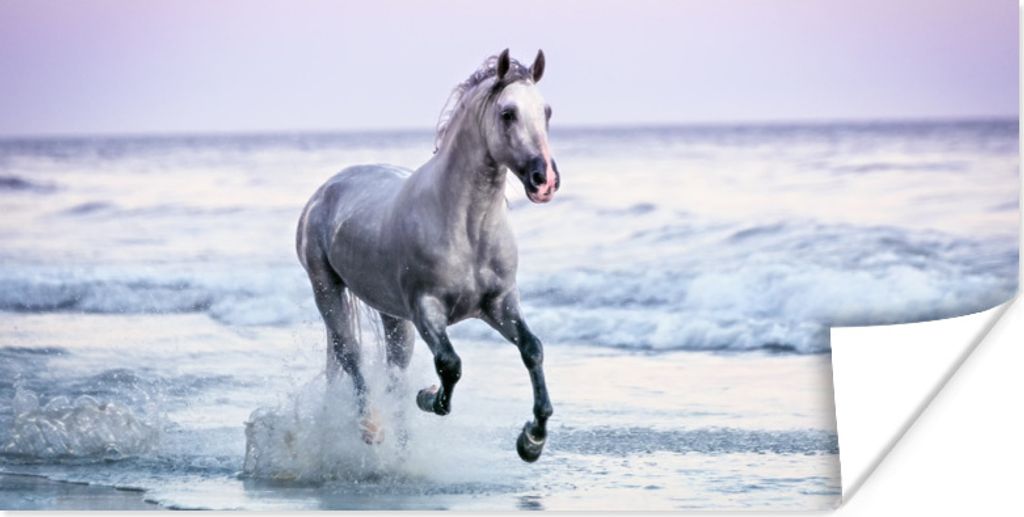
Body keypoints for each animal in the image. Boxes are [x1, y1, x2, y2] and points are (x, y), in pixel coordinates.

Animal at [296, 49, 560, 462]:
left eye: (546, 111)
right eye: (508, 113)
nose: (544, 180)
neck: (467, 227)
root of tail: (325, 190)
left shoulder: (499, 304)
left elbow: (532, 349)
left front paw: (532, 441)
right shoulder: (426, 309)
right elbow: (450, 365)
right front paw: (429, 397)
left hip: (391, 315)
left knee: (394, 372)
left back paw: (402, 448)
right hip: (327, 290)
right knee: (350, 356)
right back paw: (370, 427)